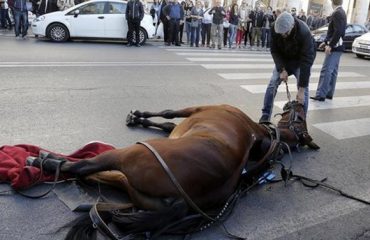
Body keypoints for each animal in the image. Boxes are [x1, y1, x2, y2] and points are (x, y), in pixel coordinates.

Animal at [28, 101, 318, 240]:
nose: (296, 101)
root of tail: (182, 200)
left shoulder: (197, 108)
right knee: (93, 173)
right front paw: (139, 119)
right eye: (300, 117)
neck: (259, 134)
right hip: (130, 185)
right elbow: (167, 126)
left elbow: (169, 113)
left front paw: (139, 115)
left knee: (83, 167)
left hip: (128, 155)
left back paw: (45, 161)